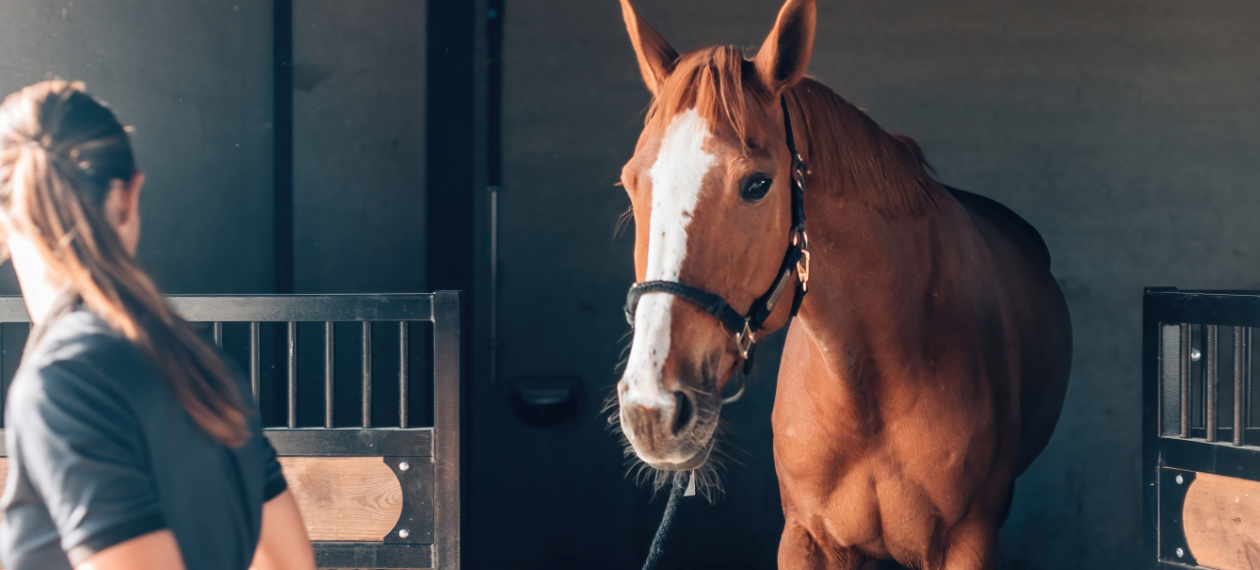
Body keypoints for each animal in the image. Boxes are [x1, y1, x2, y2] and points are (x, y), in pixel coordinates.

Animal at [612, 0, 1073, 568]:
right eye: (631, 182)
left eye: (757, 184)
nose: (650, 408)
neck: (871, 389)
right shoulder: (806, 537)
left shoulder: (968, 541)